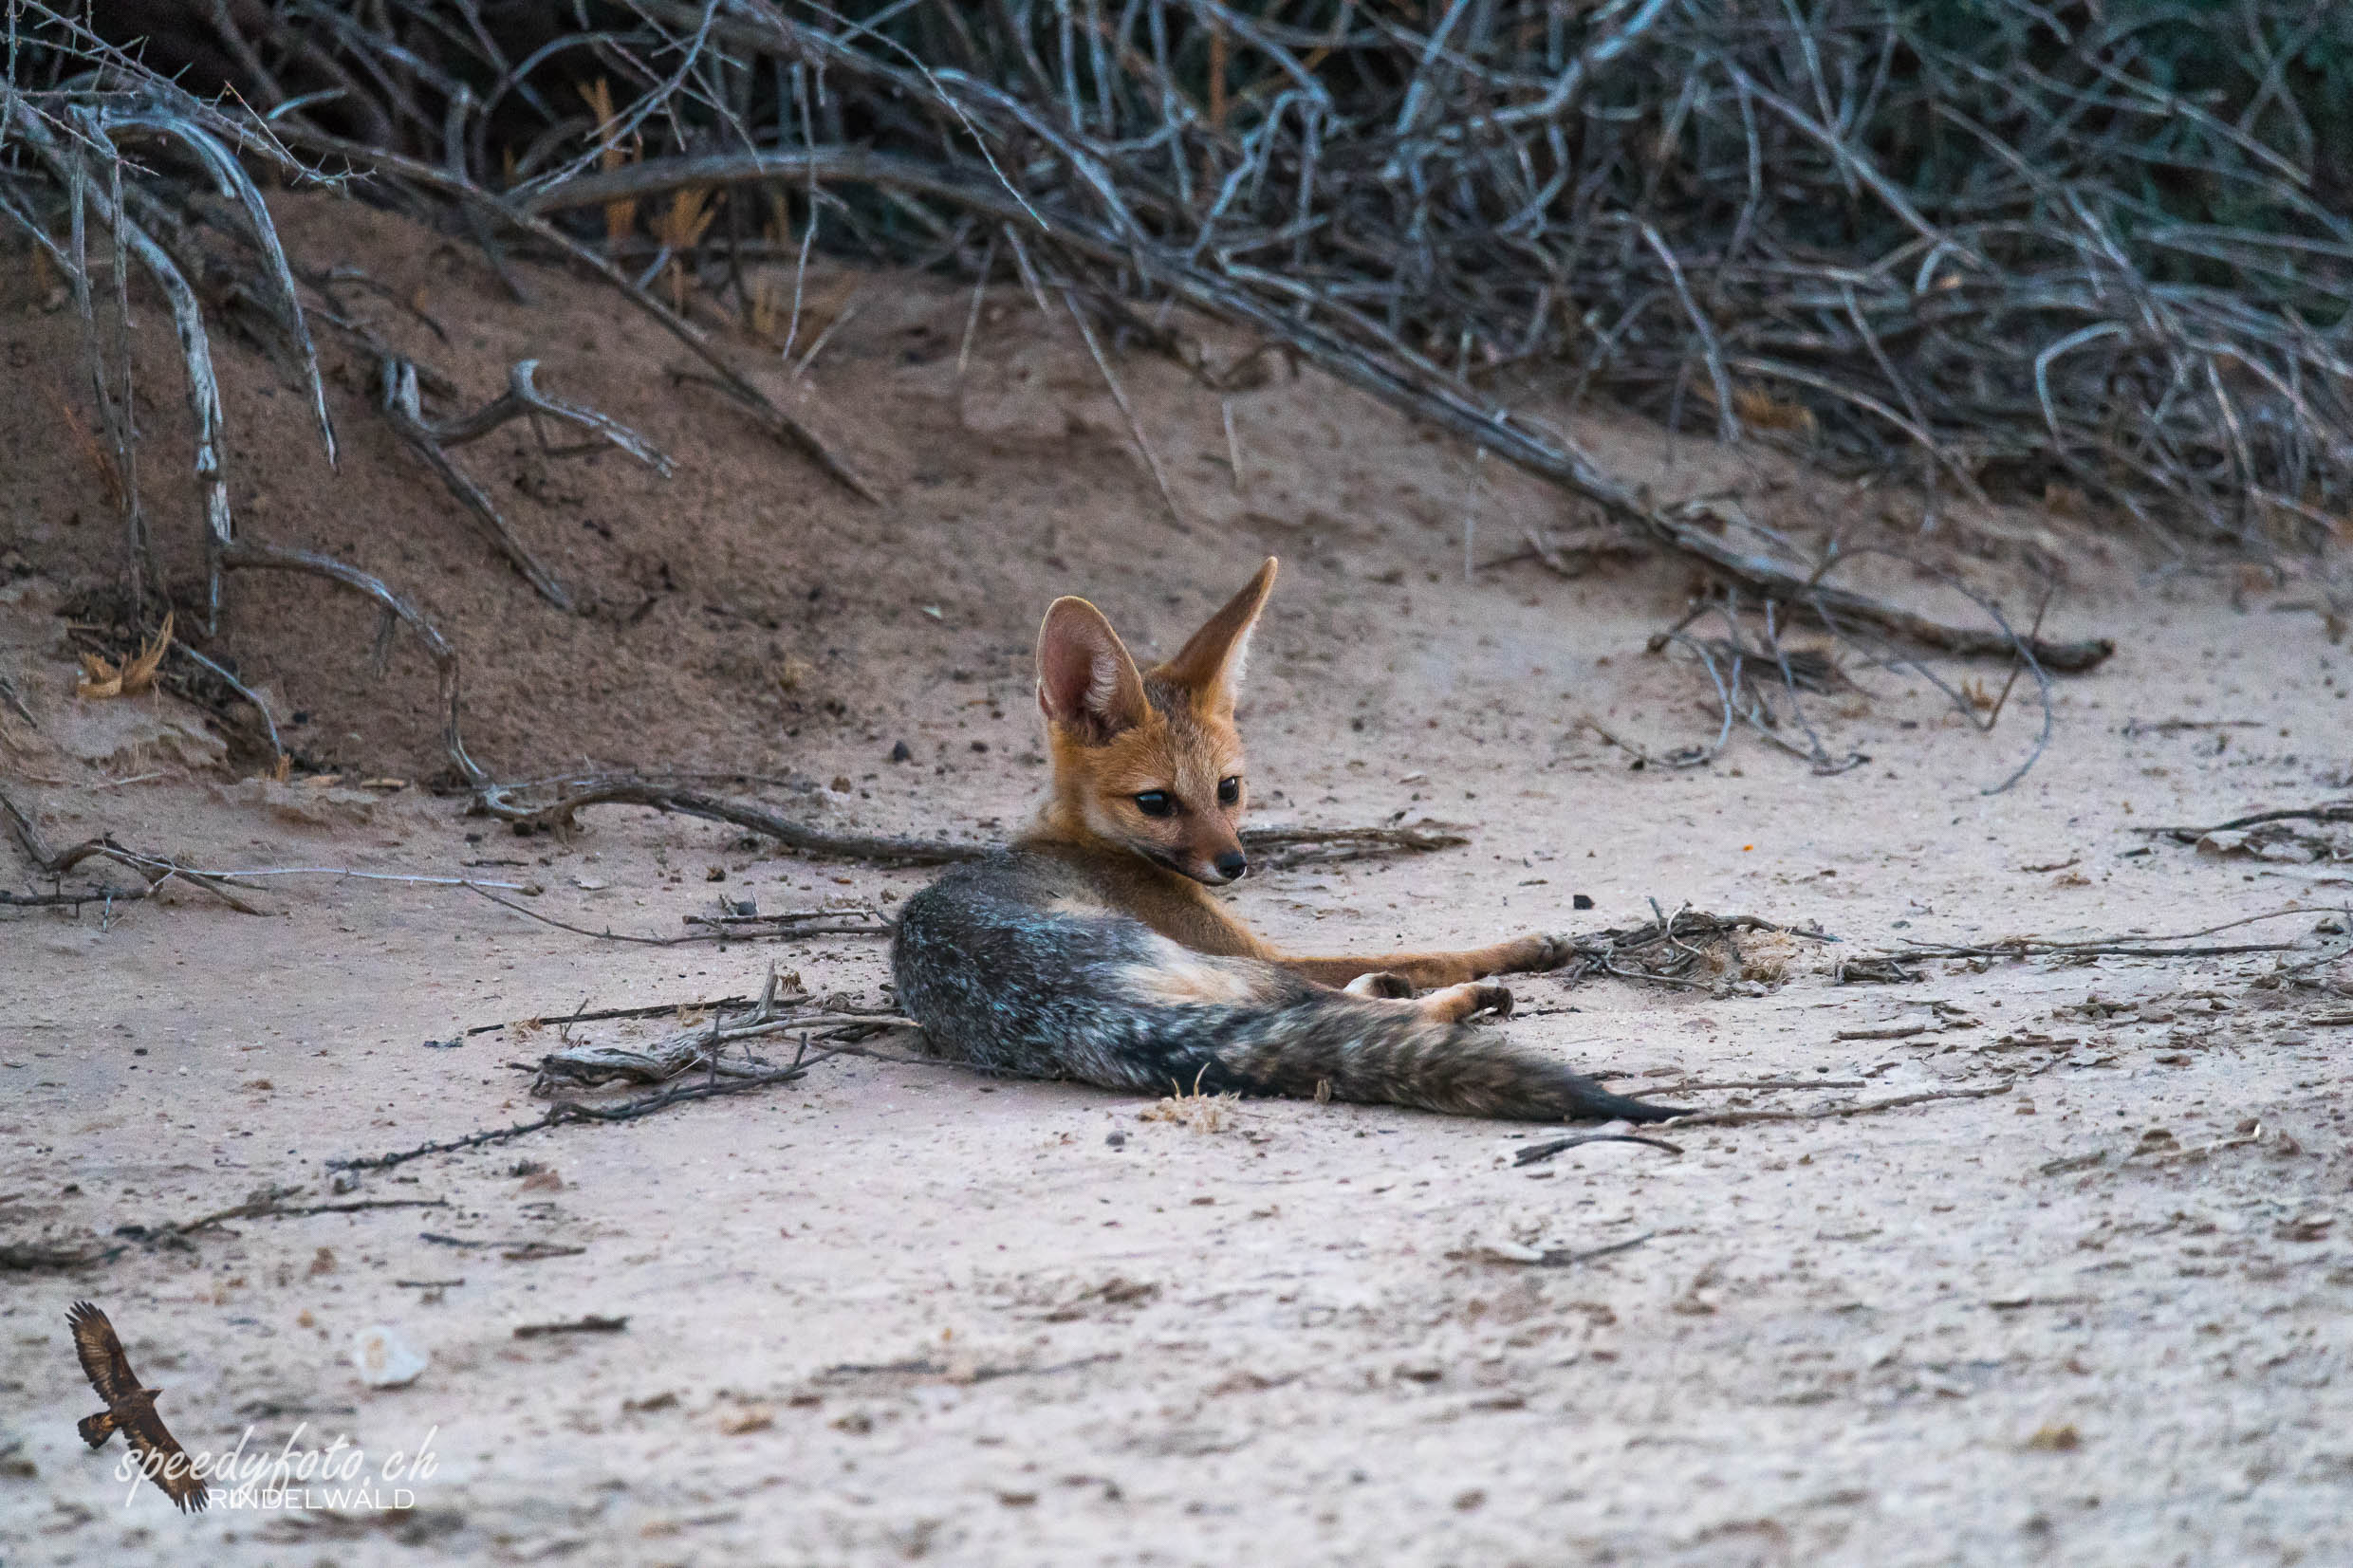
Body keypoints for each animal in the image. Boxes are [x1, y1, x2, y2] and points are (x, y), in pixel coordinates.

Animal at [889, 557, 1684, 1123]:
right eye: (1156, 801)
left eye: (1229, 789)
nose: (1235, 864)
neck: (1089, 840)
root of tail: (1070, 1010)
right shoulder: (1256, 948)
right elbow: (1426, 948)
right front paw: (1520, 946)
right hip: (1242, 970)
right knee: (1359, 1010)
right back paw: (1467, 997)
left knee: (1336, 1010)